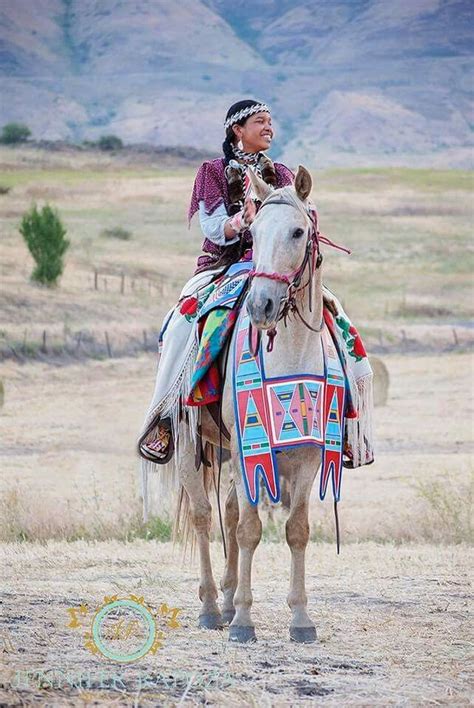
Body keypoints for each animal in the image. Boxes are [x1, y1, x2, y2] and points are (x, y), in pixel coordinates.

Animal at [163, 166, 326, 640]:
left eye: (297, 231)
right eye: (252, 232)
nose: (261, 305)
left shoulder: (308, 454)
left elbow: (296, 530)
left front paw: (301, 619)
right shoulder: (245, 448)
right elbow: (251, 529)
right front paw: (244, 623)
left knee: (231, 514)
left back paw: (228, 597)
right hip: (190, 443)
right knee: (204, 516)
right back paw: (212, 608)